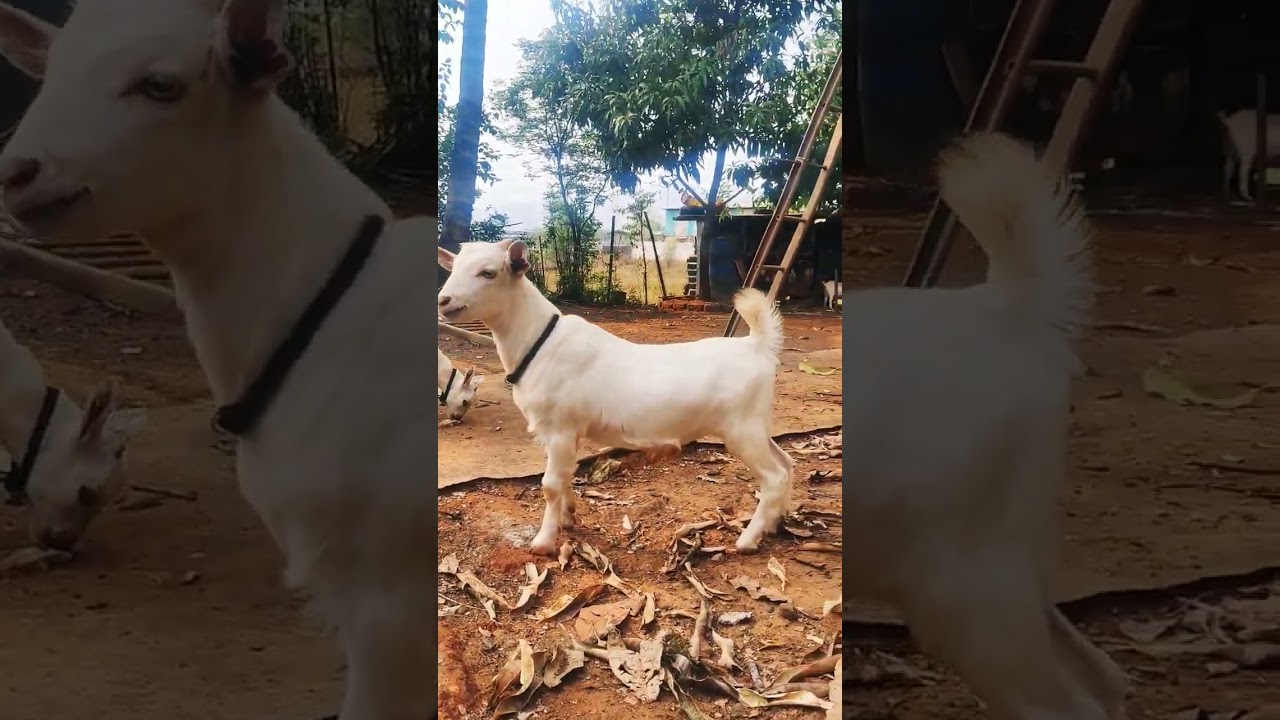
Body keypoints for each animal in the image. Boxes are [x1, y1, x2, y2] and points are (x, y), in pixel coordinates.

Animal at [438, 245, 792, 556]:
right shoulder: (561, 433)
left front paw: (543, 542)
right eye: (453, 268)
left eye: (488, 272)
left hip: (741, 428)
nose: (444, 300)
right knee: (786, 463)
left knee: (774, 476)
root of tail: (757, 345)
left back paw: (748, 540)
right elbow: (565, 476)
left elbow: (550, 483)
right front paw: (568, 517)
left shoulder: (559, 427)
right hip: (756, 426)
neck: (539, 343)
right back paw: (776, 524)